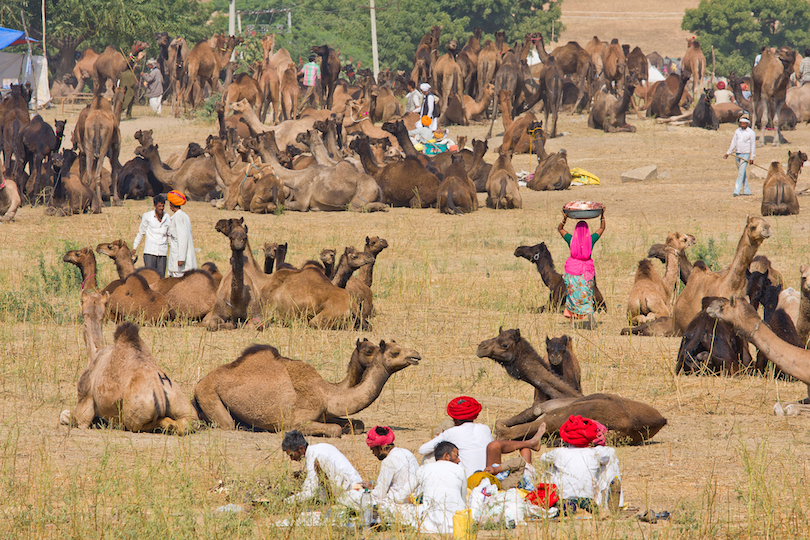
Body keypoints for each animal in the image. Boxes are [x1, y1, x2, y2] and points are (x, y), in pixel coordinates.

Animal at [60, 292, 197, 434]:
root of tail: (159, 391)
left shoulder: (84, 408)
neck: (95, 354)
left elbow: (65, 415)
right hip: (184, 407)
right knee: (187, 422)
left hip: (135, 416)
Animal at [193, 340, 420, 436]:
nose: (416, 354)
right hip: (208, 394)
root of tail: (199, 383)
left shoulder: (325, 413)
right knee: (227, 423)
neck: (327, 393)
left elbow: (357, 423)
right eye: (395, 352)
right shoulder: (295, 421)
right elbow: (335, 430)